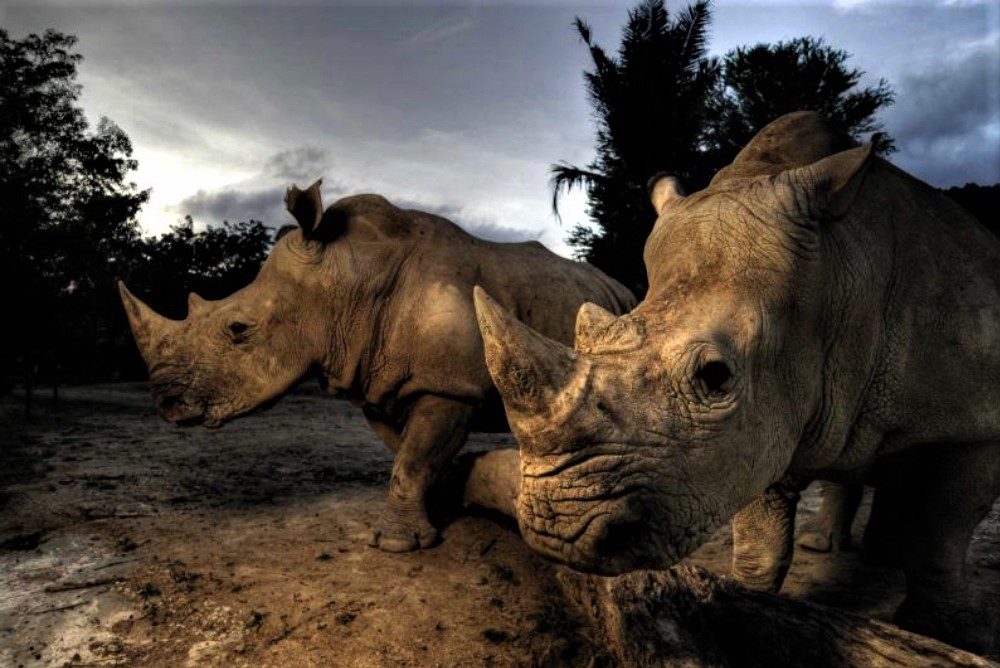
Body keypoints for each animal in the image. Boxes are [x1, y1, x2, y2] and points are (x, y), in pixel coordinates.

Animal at [119, 183, 632, 552]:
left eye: (238, 328)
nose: (165, 403)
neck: (345, 279)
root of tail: (617, 285)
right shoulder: (375, 382)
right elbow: (407, 454)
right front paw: (442, 501)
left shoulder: (448, 385)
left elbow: (411, 460)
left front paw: (398, 544)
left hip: (621, 305)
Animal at [472, 112, 1000, 648]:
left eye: (715, 376)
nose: (556, 533)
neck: (837, 276)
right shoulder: (767, 411)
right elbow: (759, 531)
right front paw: (751, 607)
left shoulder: (976, 423)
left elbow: (943, 532)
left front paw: (938, 633)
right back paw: (831, 546)